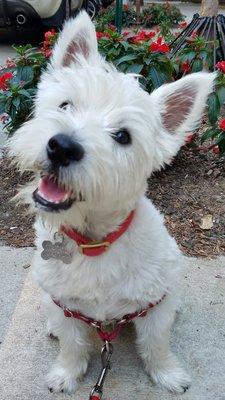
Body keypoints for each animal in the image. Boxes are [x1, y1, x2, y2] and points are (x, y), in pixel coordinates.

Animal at [8, 11, 215, 396]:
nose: (62, 147)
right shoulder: (65, 305)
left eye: (122, 136)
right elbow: (72, 343)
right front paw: (66, 374)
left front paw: (167, 374)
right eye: (66, 104)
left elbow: (156, 342)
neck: (94, 242)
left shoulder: (153, 306)